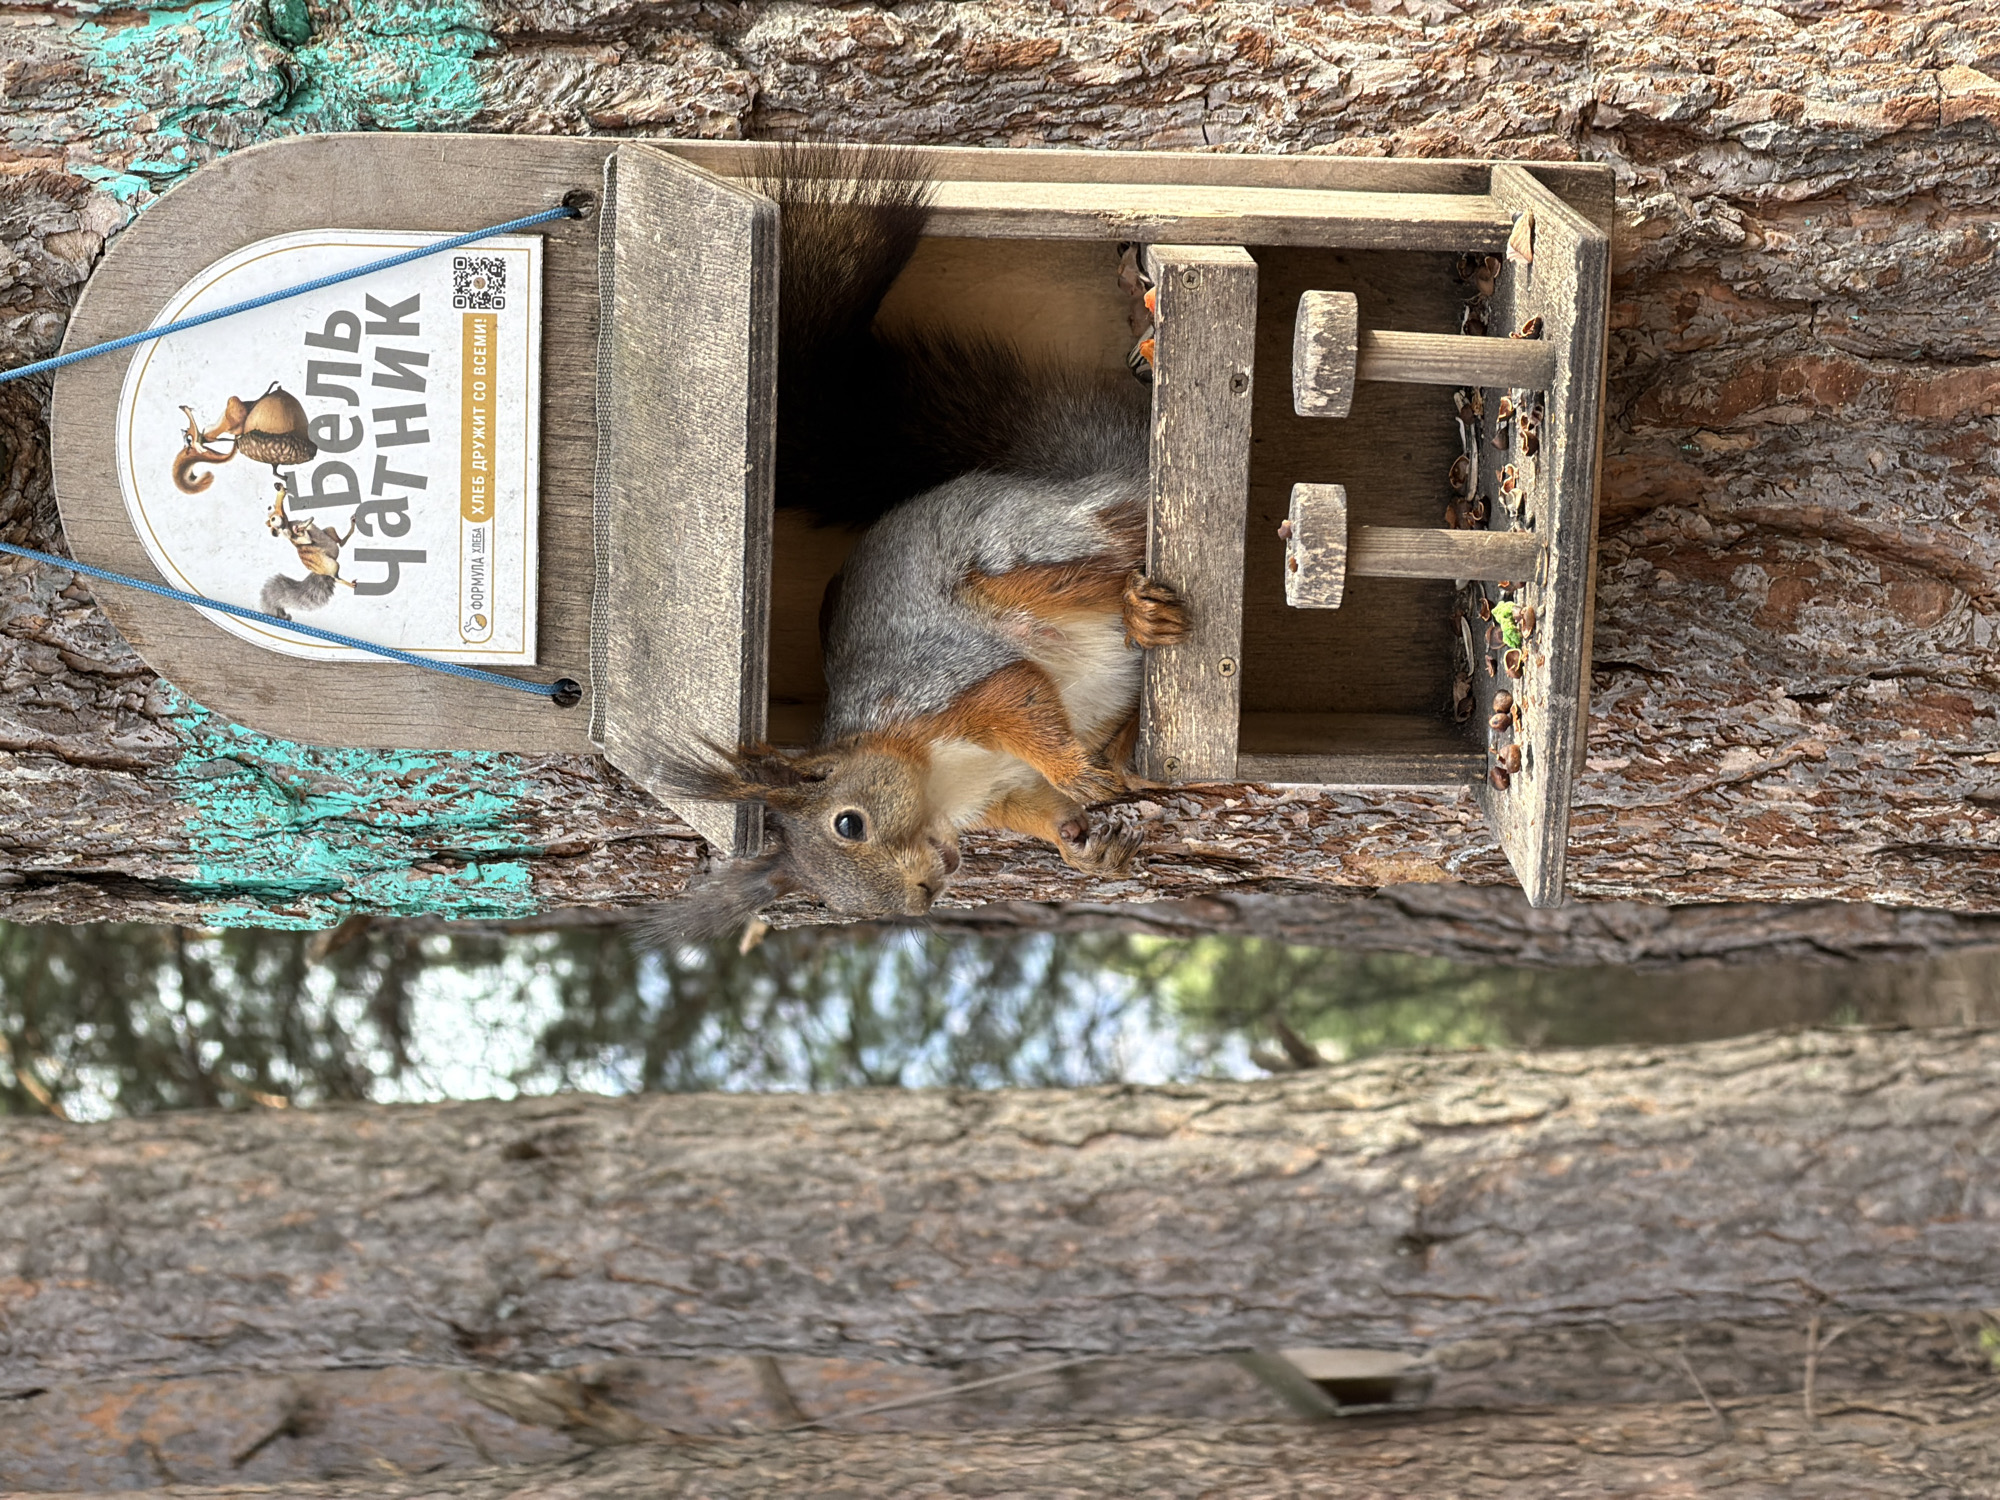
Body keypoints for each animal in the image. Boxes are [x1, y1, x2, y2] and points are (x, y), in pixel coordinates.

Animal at [649, 147, 1186, 939]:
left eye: (849, 824)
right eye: (835, 902)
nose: (927, 891)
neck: (944, 779)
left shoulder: (945, 683)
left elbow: (1020, 695)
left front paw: (1074, 771)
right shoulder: (999, 793)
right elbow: (1036, 809)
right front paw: (1083, 843)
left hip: (1021, 550)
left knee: (1106, 562)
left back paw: (1138, 613)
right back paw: (1124, 748)